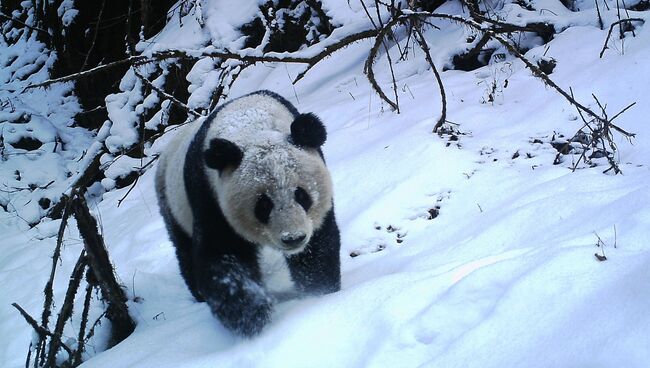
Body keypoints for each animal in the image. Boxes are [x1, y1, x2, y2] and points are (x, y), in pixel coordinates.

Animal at [155, 89, 342, 336]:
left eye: (302, 195)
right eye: (263, 205)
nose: (293, 238)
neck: (250, 123)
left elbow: (316, 247)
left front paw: (318, 292)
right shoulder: (208, 195)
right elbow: (221, 255)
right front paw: (251, 314)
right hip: (171, 203)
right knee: (183, 250)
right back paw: (199, 295)